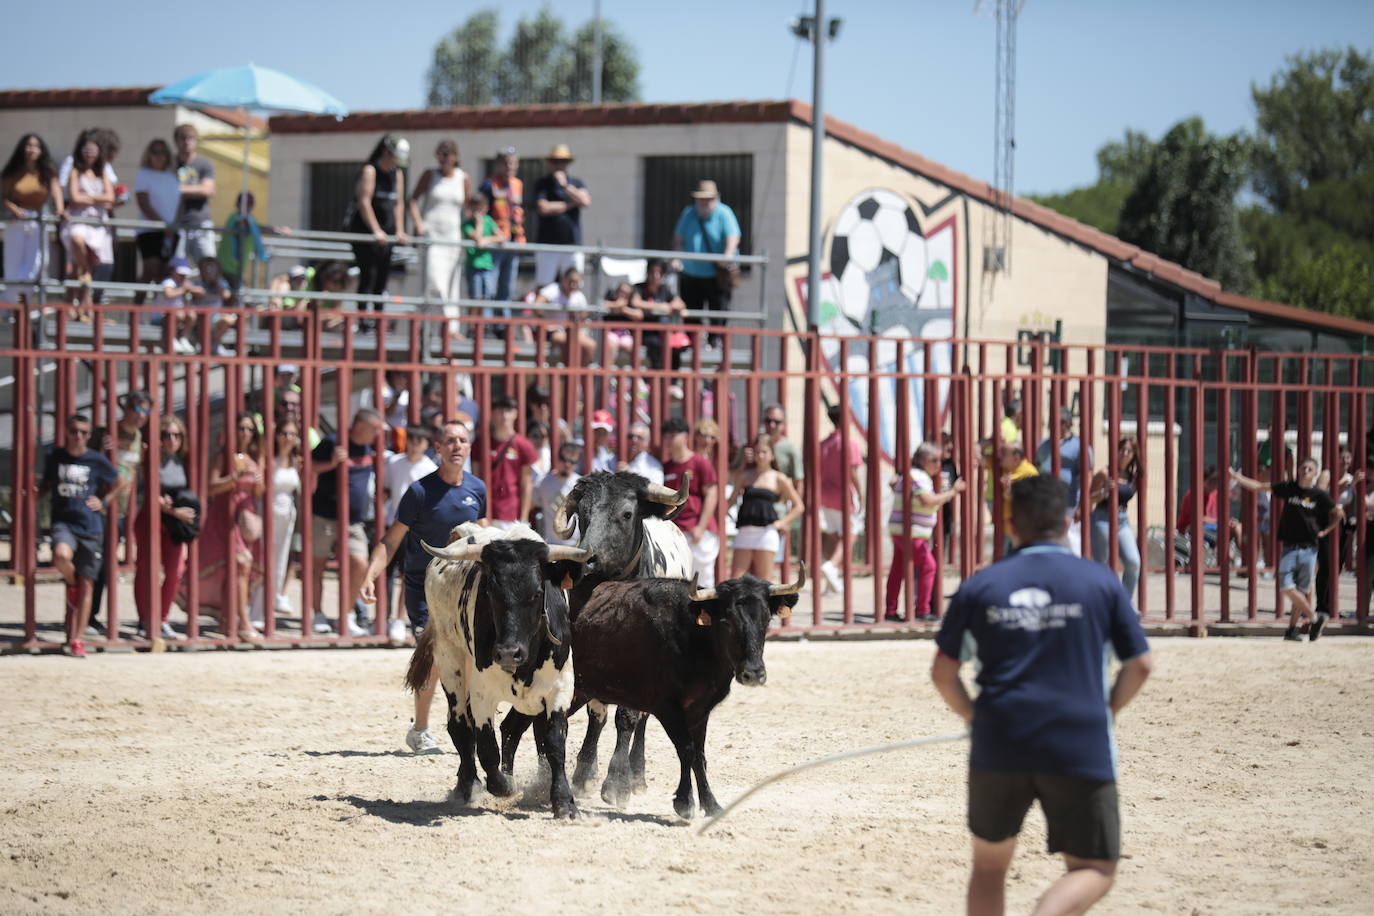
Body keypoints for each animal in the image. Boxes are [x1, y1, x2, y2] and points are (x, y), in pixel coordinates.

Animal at [401, 527, 585, 818]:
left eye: (536, 593)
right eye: (490, 592)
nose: (509, 653)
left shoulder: (560, 689)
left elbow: (555, 743)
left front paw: (564, 801)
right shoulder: (482, 694)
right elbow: (487, 746)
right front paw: (502, 785)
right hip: (449, 659)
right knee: (460, 727)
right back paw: (469, 785)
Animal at [502, 472, 692, 802]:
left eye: (626, 514)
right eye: (583, 515)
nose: (585, 561)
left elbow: (627, 717)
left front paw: (617, 782)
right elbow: (596, 715)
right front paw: (583, 772)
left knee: (643, 719)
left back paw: (636, 774)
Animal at [566, 568, 802, 818]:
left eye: (767, 620)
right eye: (727, 622)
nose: (754, 674)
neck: (695, 639)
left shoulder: (700, 710)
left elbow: (699, 755)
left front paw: (711, 804)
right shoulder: (668, 708)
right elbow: (686, 750)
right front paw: (684, 802)